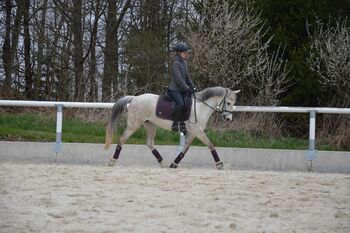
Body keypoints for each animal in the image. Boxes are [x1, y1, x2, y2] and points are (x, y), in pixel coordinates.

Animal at [104, 86, 241, 169]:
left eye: (234, 103)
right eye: (228, 102)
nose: (229, 119)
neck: (201, 107)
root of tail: (134, 98)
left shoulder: (193, 133)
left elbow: (185, 149)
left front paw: (174, 164)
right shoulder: (198, 132)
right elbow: (210, 145)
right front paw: (219, 164)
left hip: (150, 126)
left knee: (150, 144)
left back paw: (162, 162)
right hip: (134, 125)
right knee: (122, 140)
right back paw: (112, 161)